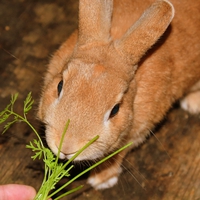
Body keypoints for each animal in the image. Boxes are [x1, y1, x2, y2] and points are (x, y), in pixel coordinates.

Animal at [37, 0, 200, 190]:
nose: (67, 147)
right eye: (59, 85)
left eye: (115, 110)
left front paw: (102, 180)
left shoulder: (137, 132)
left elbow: (118, 154)